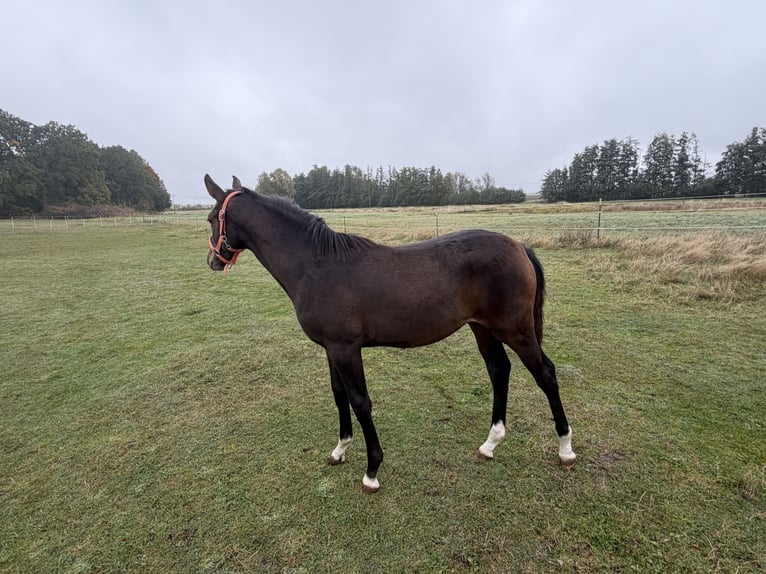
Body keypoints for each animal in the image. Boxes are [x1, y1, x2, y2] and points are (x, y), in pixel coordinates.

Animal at [204, 174, 576, 493]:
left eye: (210, 219)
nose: (212, 261)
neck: (317, 266)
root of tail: (519, 246)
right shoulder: (331, 348)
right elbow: (338, 395)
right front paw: (340, 450)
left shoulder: (346, 349)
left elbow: (360, 401)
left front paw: (372, 470)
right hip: (483, 329)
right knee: (499, 371)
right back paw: (491, 443)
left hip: (516, 330)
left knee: (545, 374)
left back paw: (565, 448)